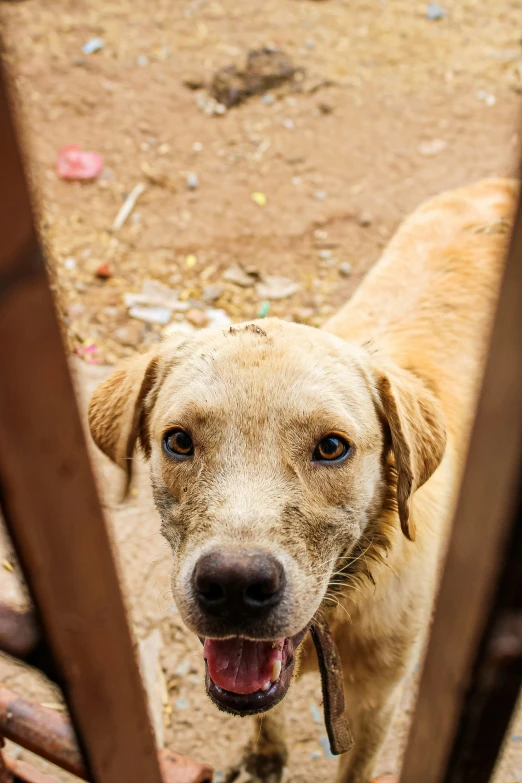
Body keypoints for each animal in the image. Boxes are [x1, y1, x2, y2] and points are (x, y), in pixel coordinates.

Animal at [88, 179, 512, 783]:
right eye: (179, 441)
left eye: (332, 448)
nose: (234, 586)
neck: (338, 606)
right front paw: (266, 755)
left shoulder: (377, 702)